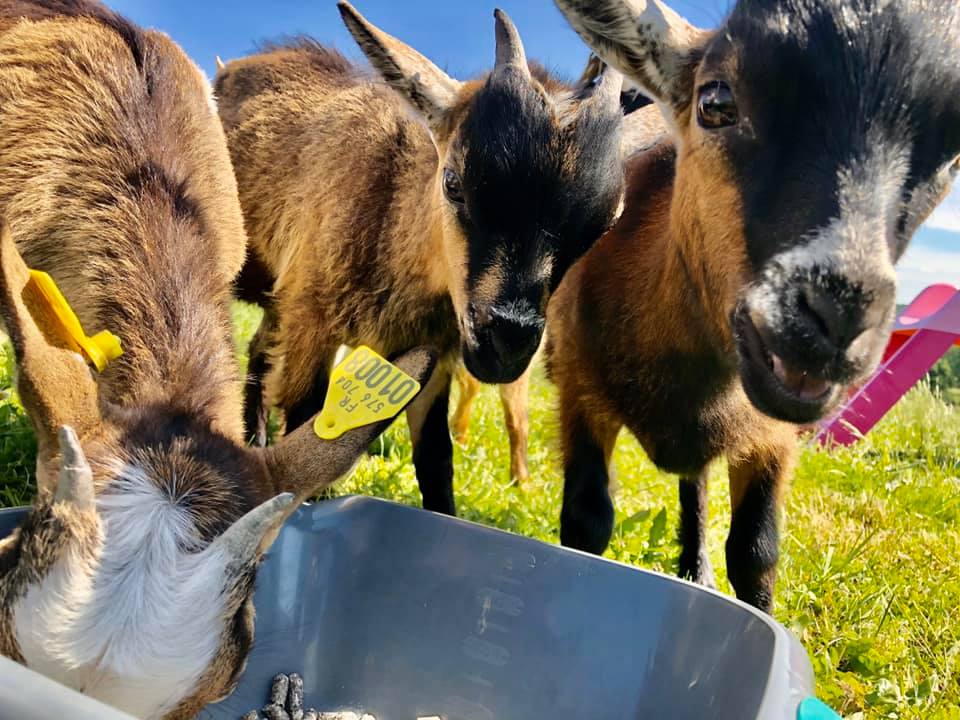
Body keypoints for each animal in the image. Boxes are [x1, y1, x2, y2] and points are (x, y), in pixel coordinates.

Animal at [216, 3, 626, 516]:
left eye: (603, 226)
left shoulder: (432, 352)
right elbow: (308, 418)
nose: (505, 346)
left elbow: (435, 457)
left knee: (259, 349)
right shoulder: (314, 322)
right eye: (453, 183)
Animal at [548, 0, 960, 612]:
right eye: (715, 102)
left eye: (951, 159)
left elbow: (755, 552)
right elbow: (585, 521)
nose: (837, 316)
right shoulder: (579, 391)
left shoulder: (772, 439)